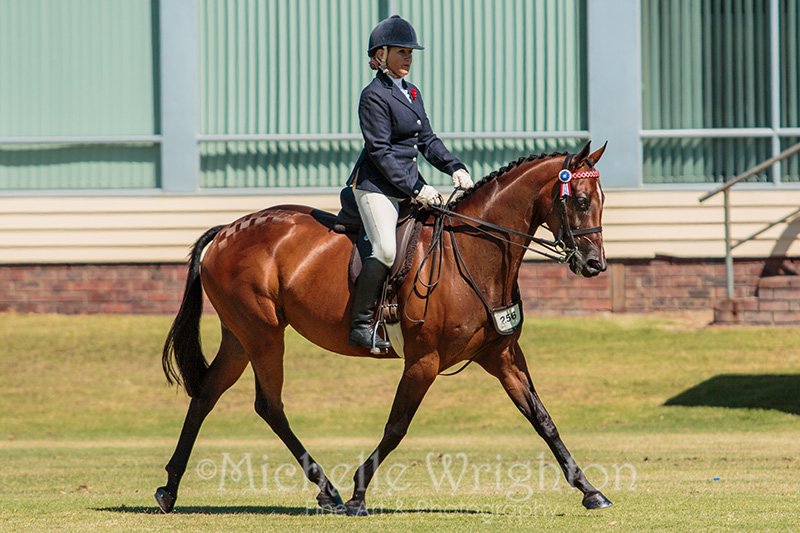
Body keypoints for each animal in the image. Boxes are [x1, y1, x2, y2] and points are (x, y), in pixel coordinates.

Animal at [156, 141, 612, 516]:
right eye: (580, 200)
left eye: (601, 201)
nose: (595, 264)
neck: (473, 251)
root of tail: (227, 231)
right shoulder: (424, 361)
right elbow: (396, 427)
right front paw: (358, 494)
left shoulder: (501, 356)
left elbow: (542, 419)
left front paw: (590, 490)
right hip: (263, 334)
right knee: (268, 405)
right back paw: (329, 491)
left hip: (240, 337)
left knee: (206, 396)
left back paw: (170, 489)